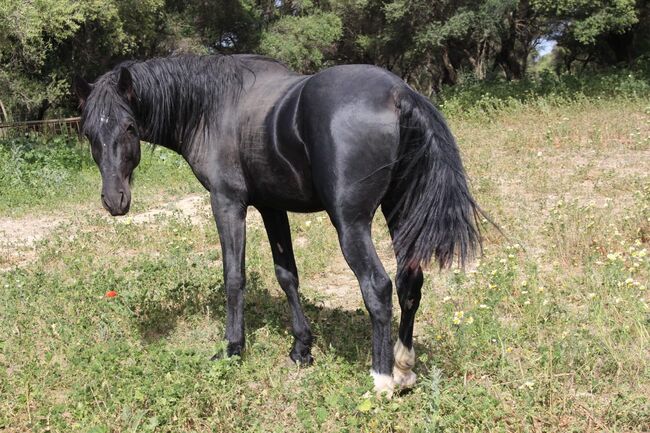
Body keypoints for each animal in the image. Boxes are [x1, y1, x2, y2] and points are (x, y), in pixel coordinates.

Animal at [74, 53, 480, 392]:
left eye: (129, 127)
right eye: (90, 132)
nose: (114, 200)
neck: (213, 108)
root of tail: (398, 93)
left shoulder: (228, 203)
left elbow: (234, 276)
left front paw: (233, 347)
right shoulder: (272, 208)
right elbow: (287, 275)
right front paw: (302, 347)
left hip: (351, 223)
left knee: (377, 287)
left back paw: (381, 380)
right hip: (400, 211)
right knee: (409, 282)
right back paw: (403, 367)